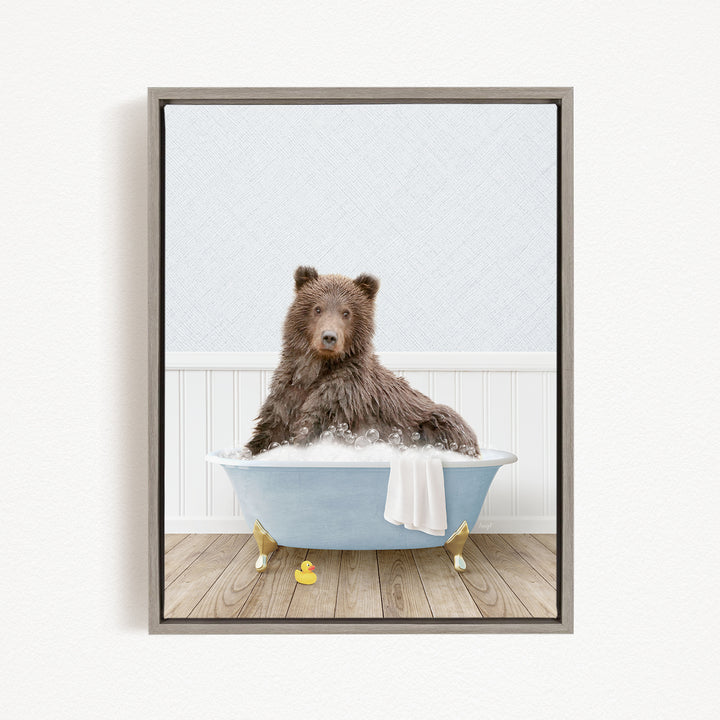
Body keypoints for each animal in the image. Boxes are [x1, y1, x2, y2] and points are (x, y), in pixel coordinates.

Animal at [245, 266, 479, 456]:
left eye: (346, 312)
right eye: (317, 308)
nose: (329, 337)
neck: (316, 369)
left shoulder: (342, 398)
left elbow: (311, 428)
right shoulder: (287, 394)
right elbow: (268, 432)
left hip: (435, 420)